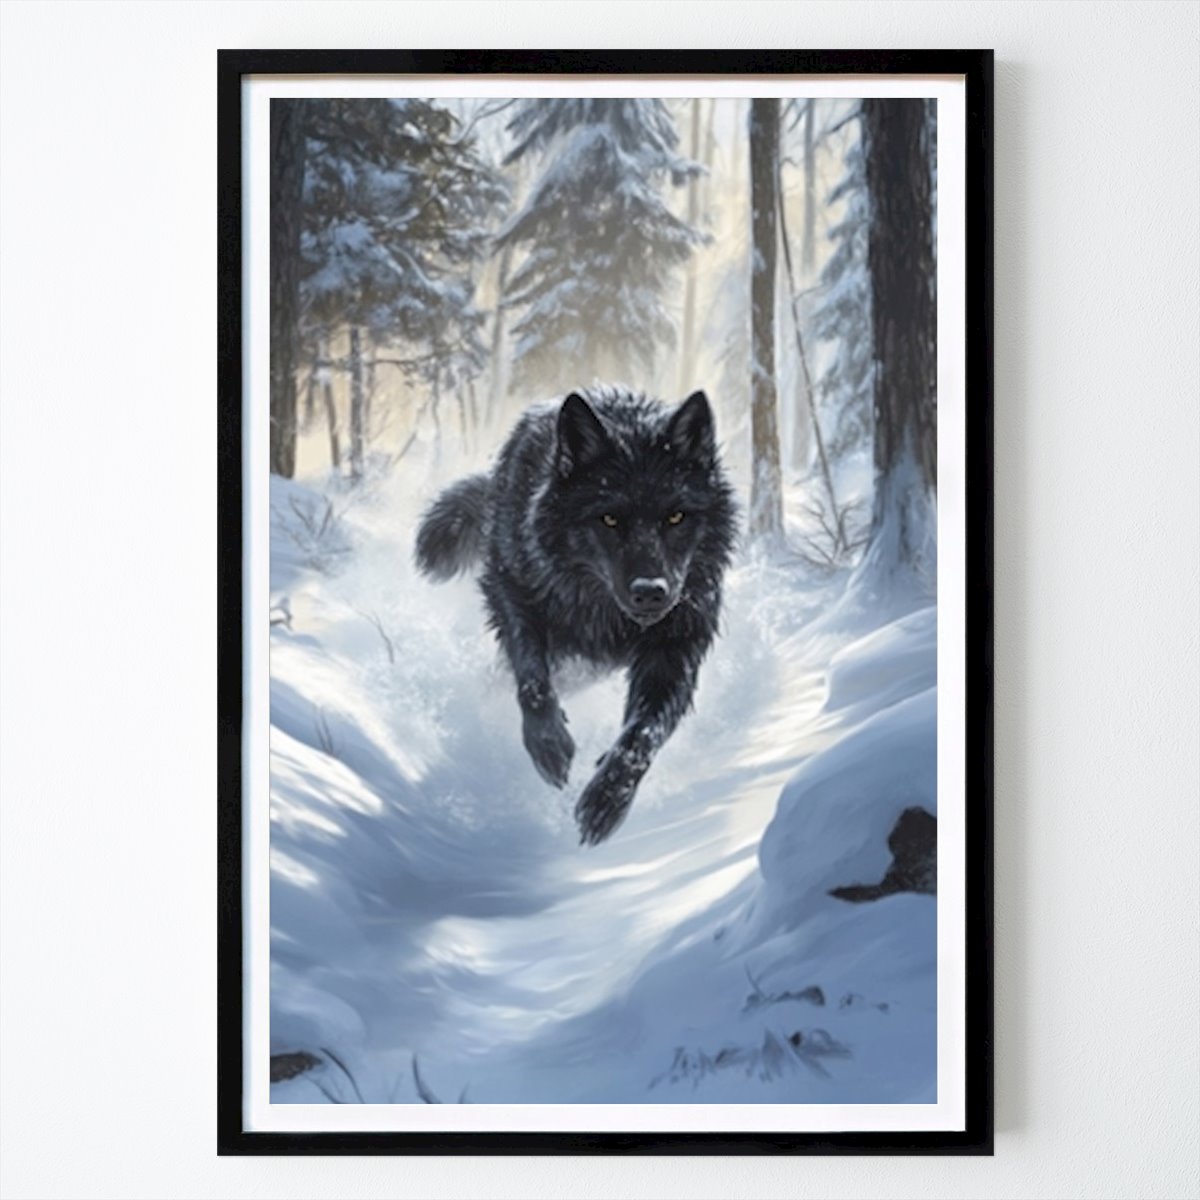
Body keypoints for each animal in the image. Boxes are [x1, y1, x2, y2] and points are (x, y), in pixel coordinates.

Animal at [416, 386, 737, 845]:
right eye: (609, 518)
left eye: (676, 516)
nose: (650, 592)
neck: (605, 613)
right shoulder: (511, 593)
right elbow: (532, 679)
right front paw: (548, 745)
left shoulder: (676, 647)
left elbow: (644, 734)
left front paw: (606, 803)